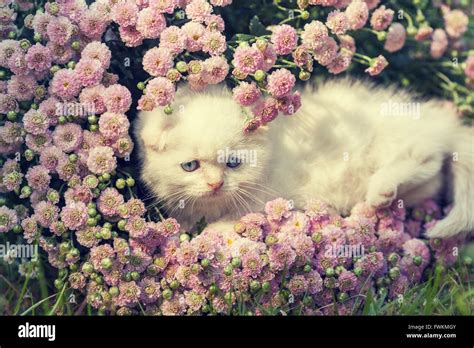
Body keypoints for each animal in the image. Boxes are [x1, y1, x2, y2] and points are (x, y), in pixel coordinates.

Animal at [135, 78, 472, 239]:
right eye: (190, 166)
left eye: (233, 163)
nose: (216, 184)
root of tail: (437, 121)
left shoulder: (269, 196)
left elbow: (237, 217)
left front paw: (212, 232)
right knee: (433, 177)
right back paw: (384, 197)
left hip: (389, 141)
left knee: (426, 155)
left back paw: (382, 188)